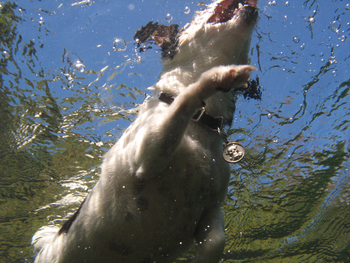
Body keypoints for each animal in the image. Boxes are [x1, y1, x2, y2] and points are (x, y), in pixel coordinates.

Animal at [32, 1, 258, 262]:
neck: (200, 125)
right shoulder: (148, 155)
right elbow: (186, 99)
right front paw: (219, 76)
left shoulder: (210, 210)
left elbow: (216, 241)